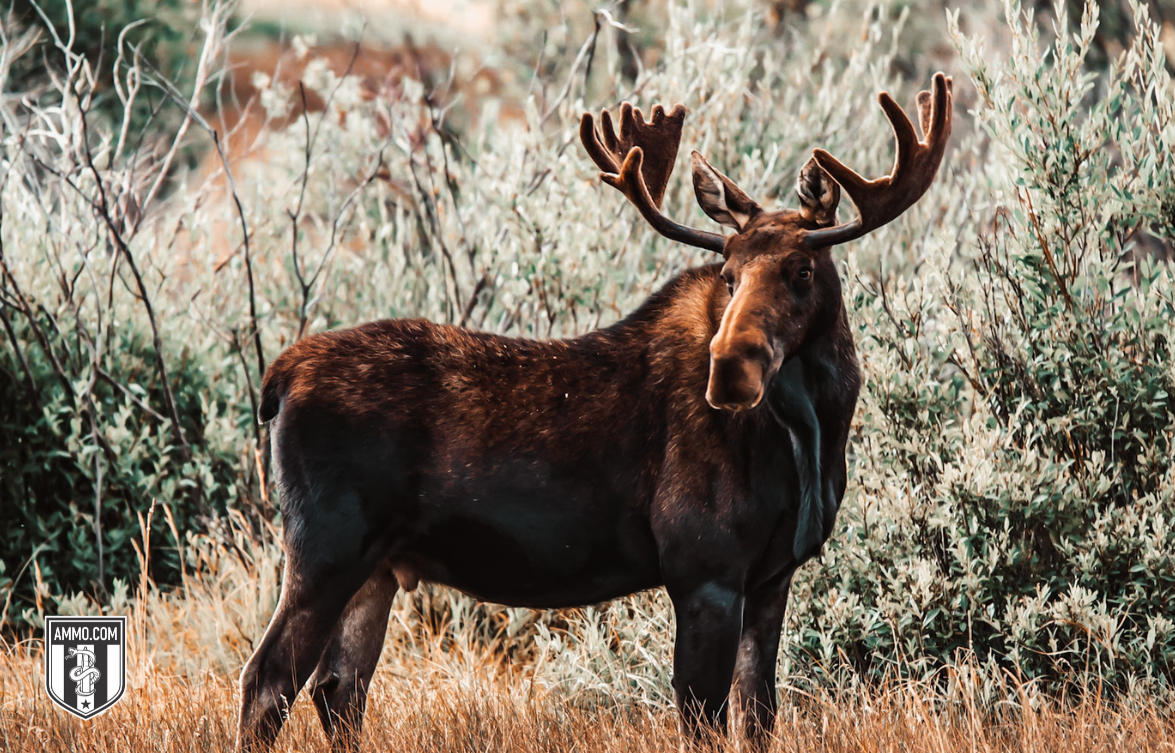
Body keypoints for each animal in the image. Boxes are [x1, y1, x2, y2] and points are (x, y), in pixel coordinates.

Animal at [238, 73, 954, 747]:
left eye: (803, 269)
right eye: (728, 274)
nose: (730, 368)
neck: (814, 434)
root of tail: (277, 379)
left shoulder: (772, 578)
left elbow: (759, 718)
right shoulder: (704, 571)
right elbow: (701, 720)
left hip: (376, 567)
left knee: (338, 686)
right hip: (325, 548)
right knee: (269, 678)